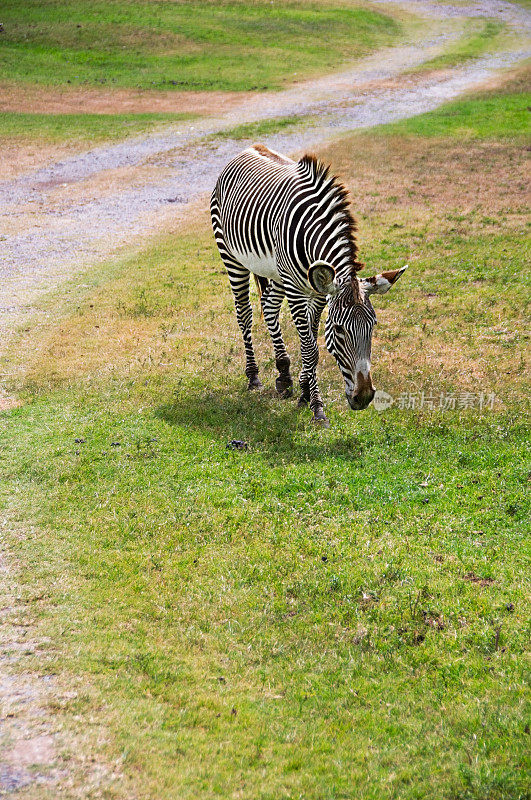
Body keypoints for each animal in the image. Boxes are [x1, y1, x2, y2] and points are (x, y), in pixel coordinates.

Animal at [210, 147, 406, 428]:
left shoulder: (319, 293)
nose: (364, 397)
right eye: (339, 330)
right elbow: (311, 349)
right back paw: (253, 376)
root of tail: (248, 149)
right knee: (244, 314)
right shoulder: (296, 291)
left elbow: (310, 341)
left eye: (373, 326)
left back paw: (283, 374)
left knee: (269, 307)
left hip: (276, 272)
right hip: (232, 257)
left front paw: (303, 392)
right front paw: (317, 407)